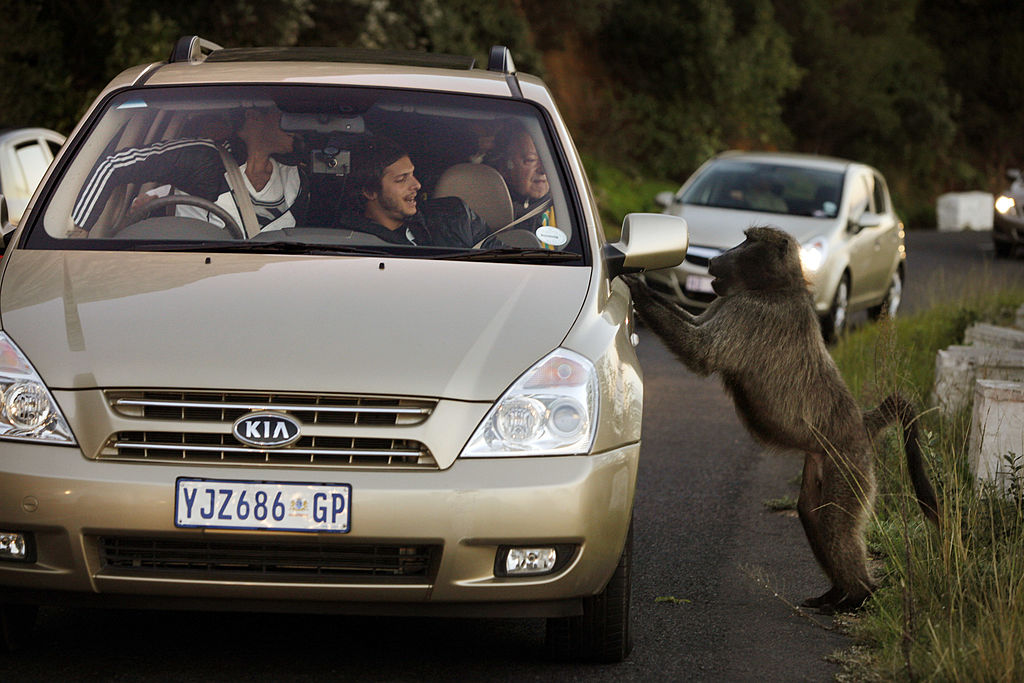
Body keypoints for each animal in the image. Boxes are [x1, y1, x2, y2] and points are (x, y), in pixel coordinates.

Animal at [625, 226, 940, 612]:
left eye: (748, 240)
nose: (714, 260)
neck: (780, 287)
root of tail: (862, 421)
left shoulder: (749, 313)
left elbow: (701, 351)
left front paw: (635, 285)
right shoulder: (725, 303)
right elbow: (695, 326)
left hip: (849, 463)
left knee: (835, 525)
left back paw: (859, 595)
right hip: (822, 461)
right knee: (811, 513)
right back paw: (834, 593)